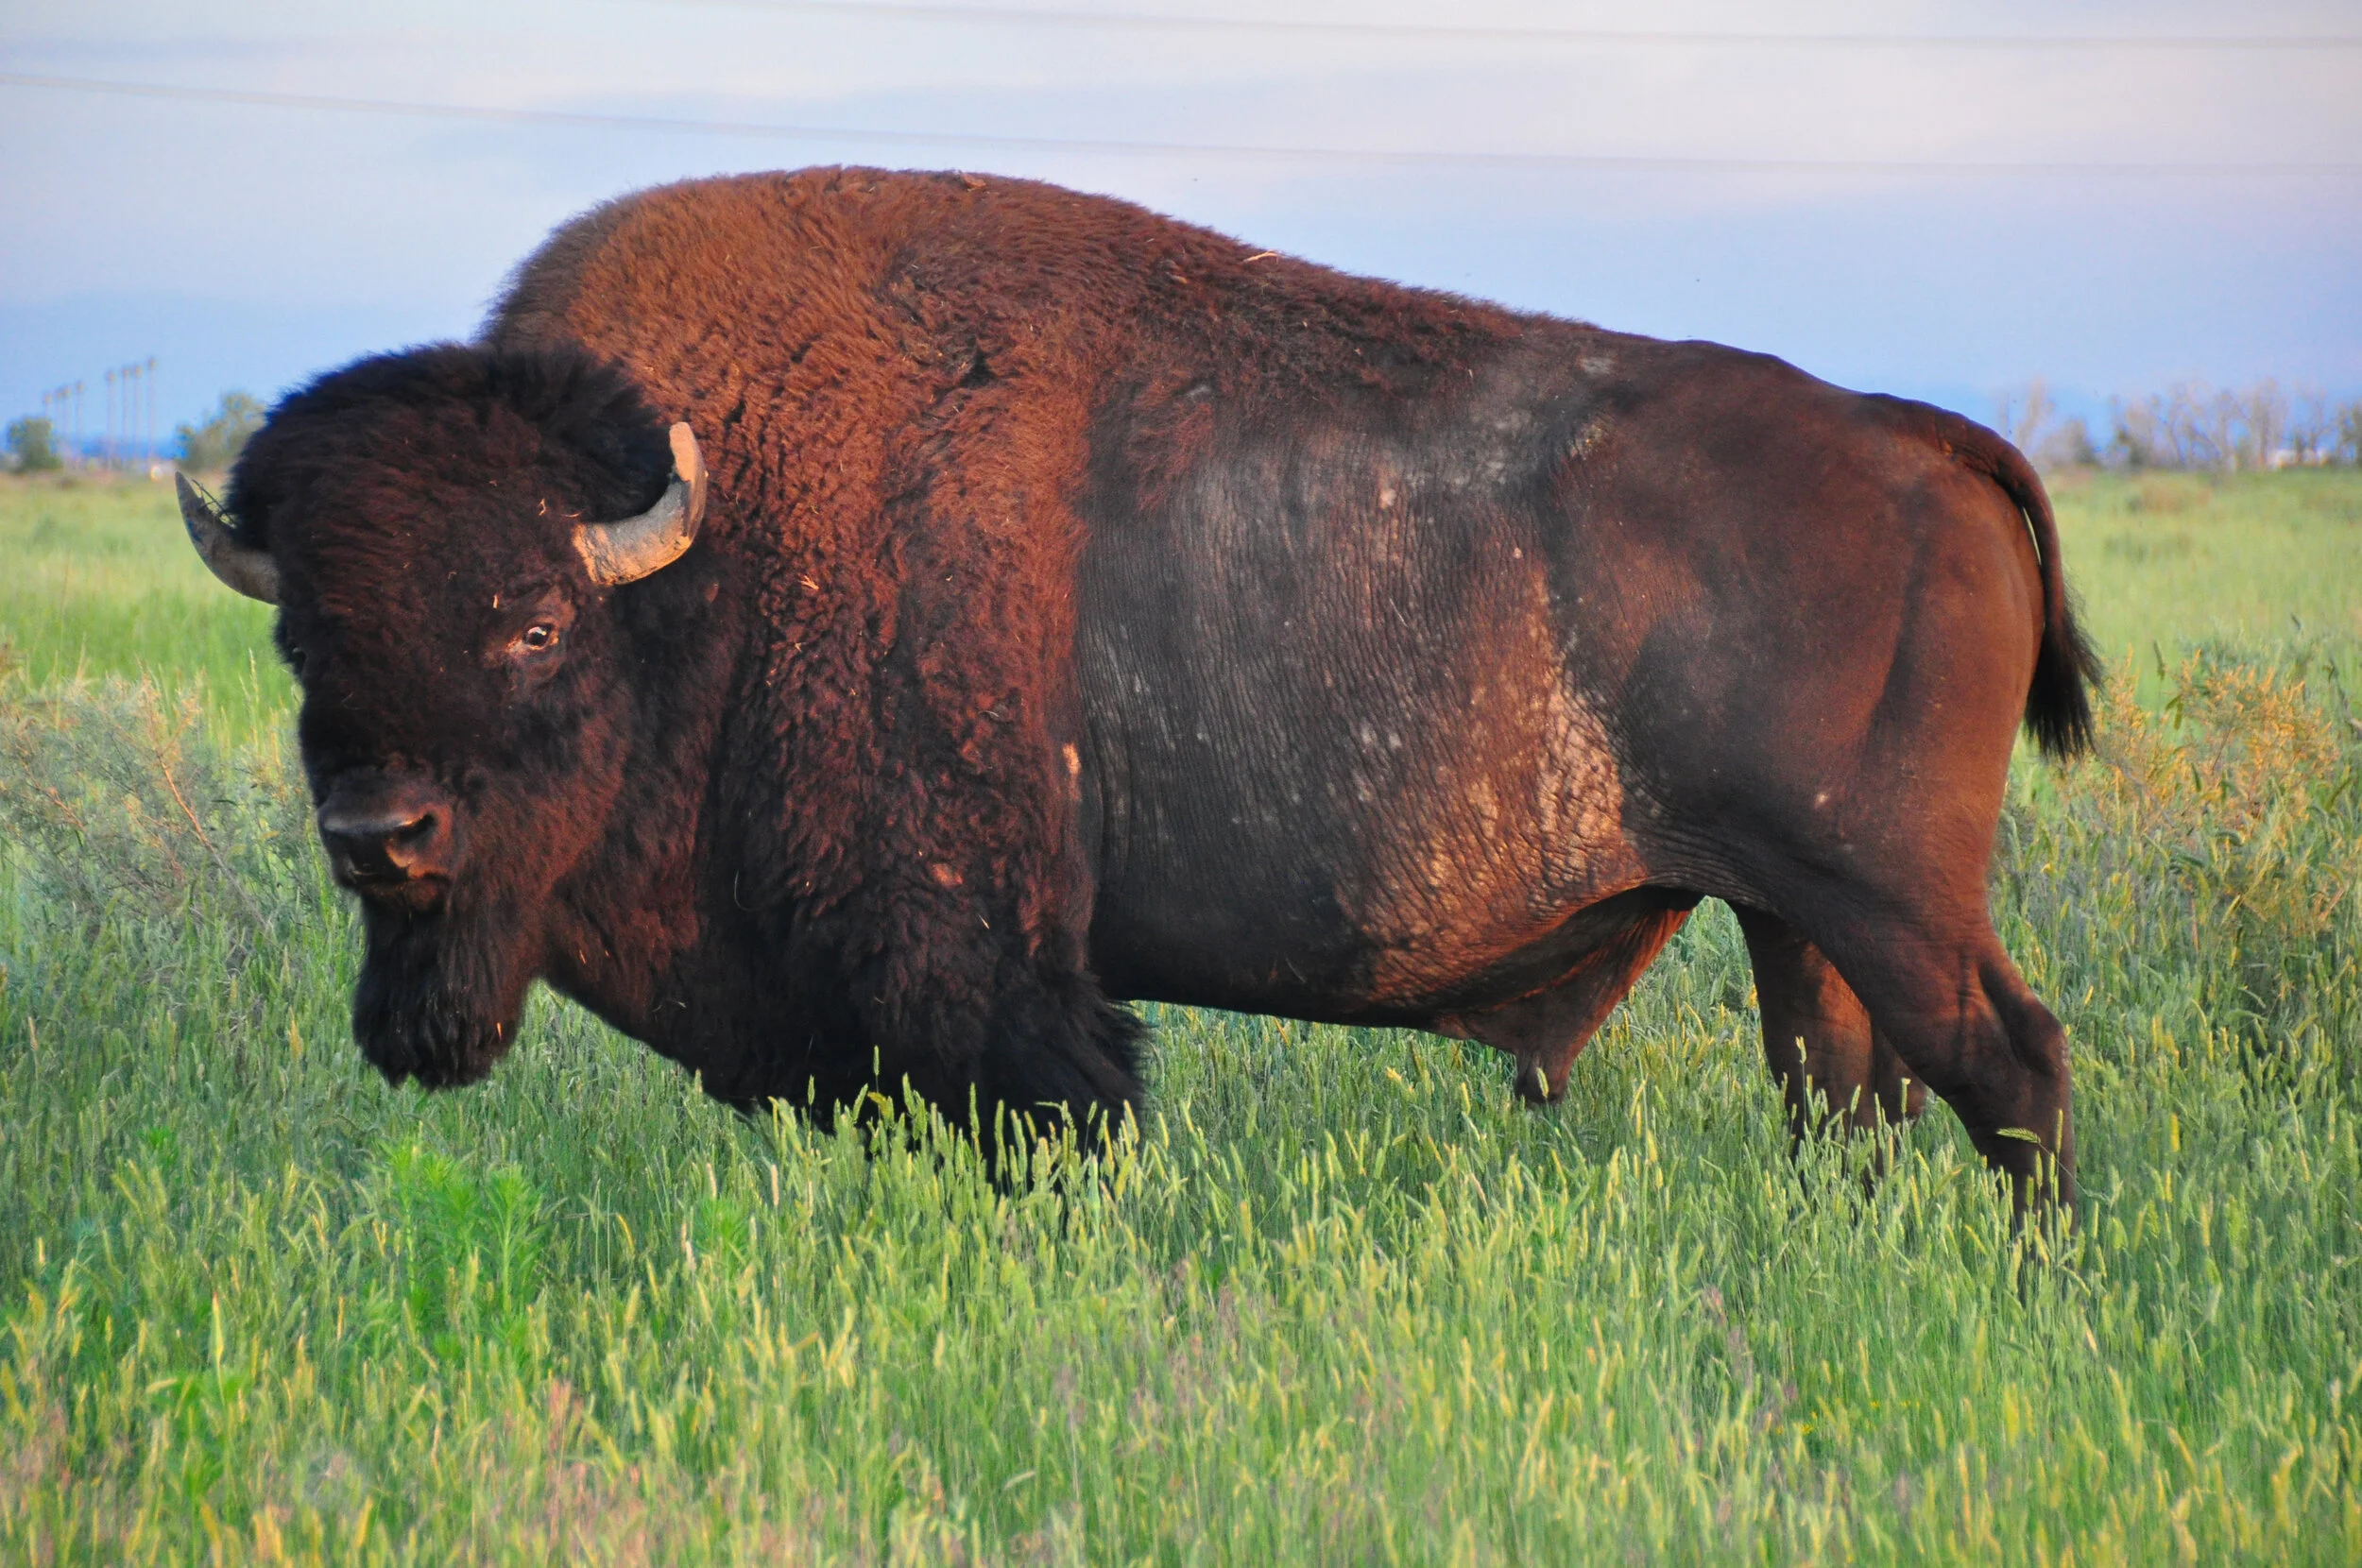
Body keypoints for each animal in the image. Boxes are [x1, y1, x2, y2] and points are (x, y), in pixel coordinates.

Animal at [180, 169, 2096, 1207]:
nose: (381, 834)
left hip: (1886, 895)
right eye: (304, 643)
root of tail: (1920, 436)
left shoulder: (1001, 998)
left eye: (529, 624)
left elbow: (1059, 1124)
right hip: (1799, 915)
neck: (715, 546)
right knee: (1846, 1100)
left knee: (2012, 1067)